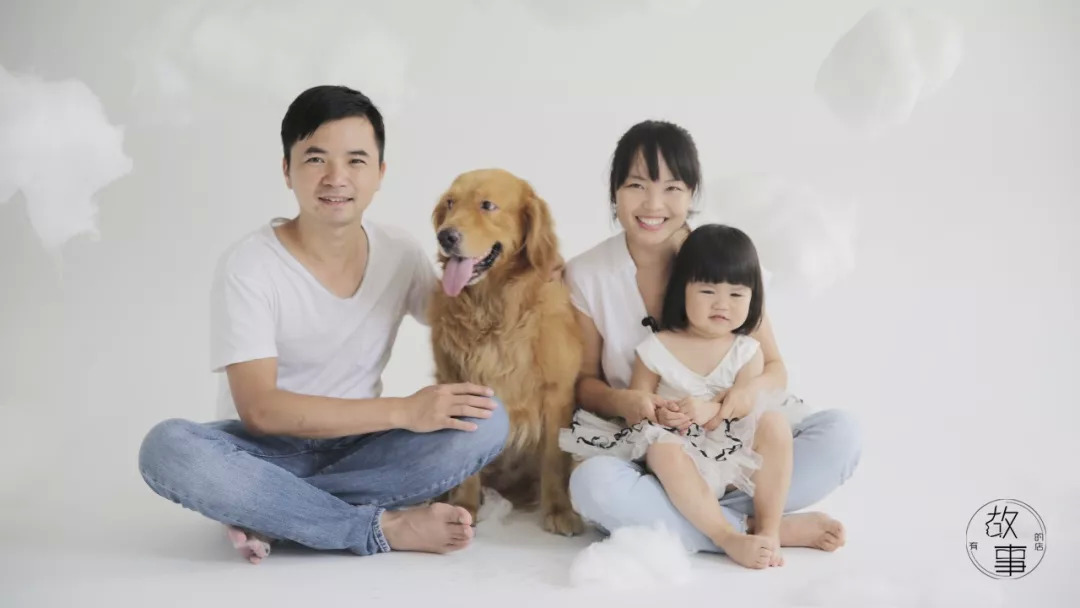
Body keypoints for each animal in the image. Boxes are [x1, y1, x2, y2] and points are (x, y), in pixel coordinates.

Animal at [428, 168, 584, 536]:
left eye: (487, 205)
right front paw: (464, 505)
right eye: (450, 203)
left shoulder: (557, 393)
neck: (493, 308)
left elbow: (554, 457)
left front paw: (559, 510)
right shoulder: (459, 386)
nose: (445, 236)